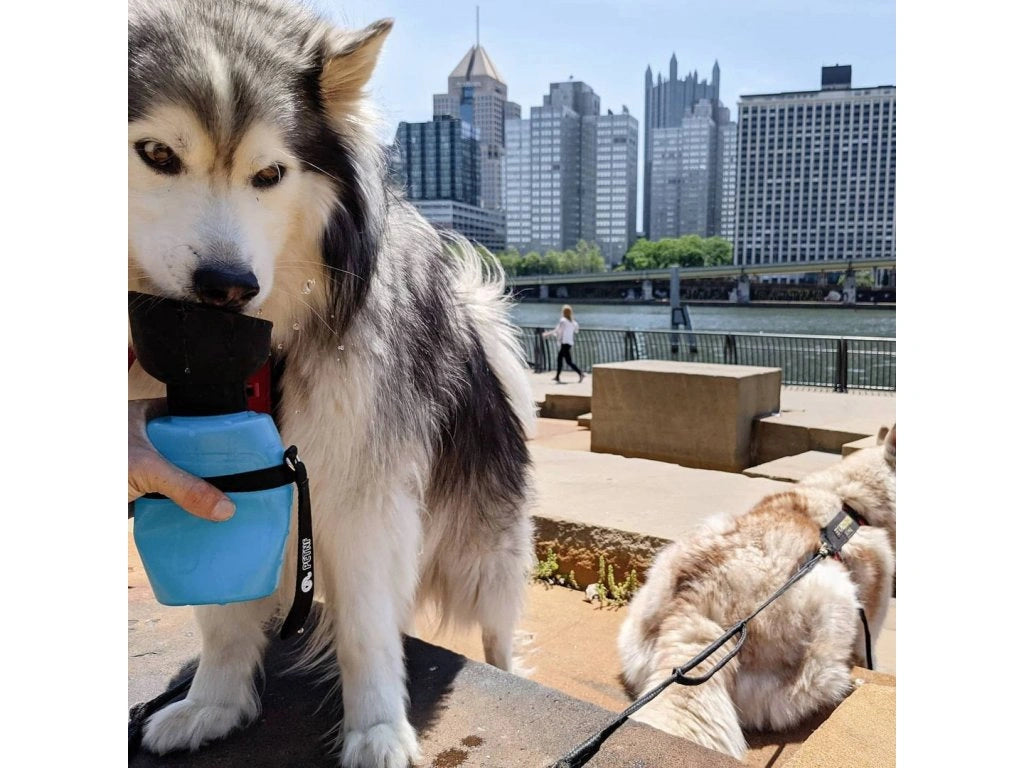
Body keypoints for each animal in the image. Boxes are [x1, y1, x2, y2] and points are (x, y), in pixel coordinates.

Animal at [128, 3, 536, 765]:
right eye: (158, 154)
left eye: (270, 173)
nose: (229, 288)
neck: (265, 358)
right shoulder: (211, 491)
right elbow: (222, 619)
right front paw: (213, 704)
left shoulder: (361, 492)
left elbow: (368, 628)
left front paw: (378, 729)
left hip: (484, 549)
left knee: (496, 622)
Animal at [614, 430, 897, 761]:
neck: (849, 503)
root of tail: (696, 599)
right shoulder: (871, 619)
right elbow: (870, 654)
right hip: (833, 600)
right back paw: (850, 683)